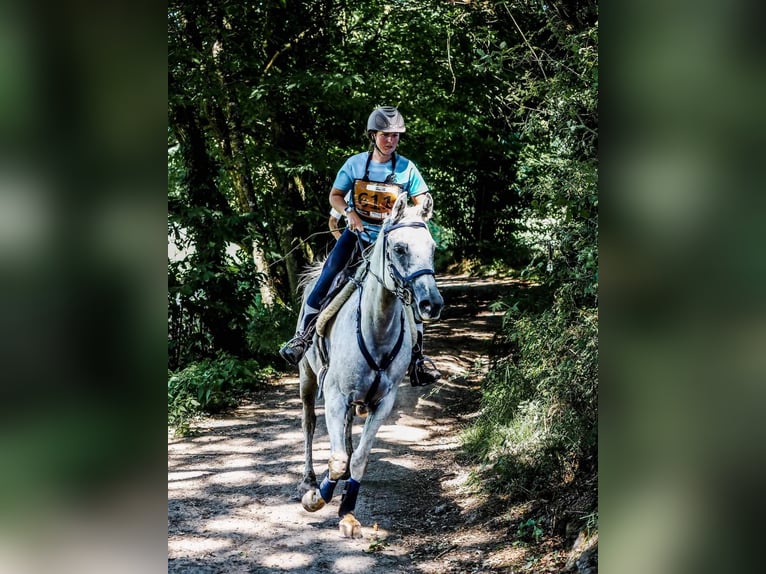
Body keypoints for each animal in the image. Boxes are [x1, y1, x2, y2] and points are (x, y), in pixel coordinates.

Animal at [296, 192, 448, 540]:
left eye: (432, 247)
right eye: (400, 248)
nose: (431, 304)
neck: (376, 326)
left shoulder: (382, 402)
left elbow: (359, 459)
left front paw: (348, 515)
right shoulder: (335, 396)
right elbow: (338, 459)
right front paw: (316, 498)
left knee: (348, 433)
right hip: (307, 378)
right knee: (309, 425)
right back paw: (309, 480)